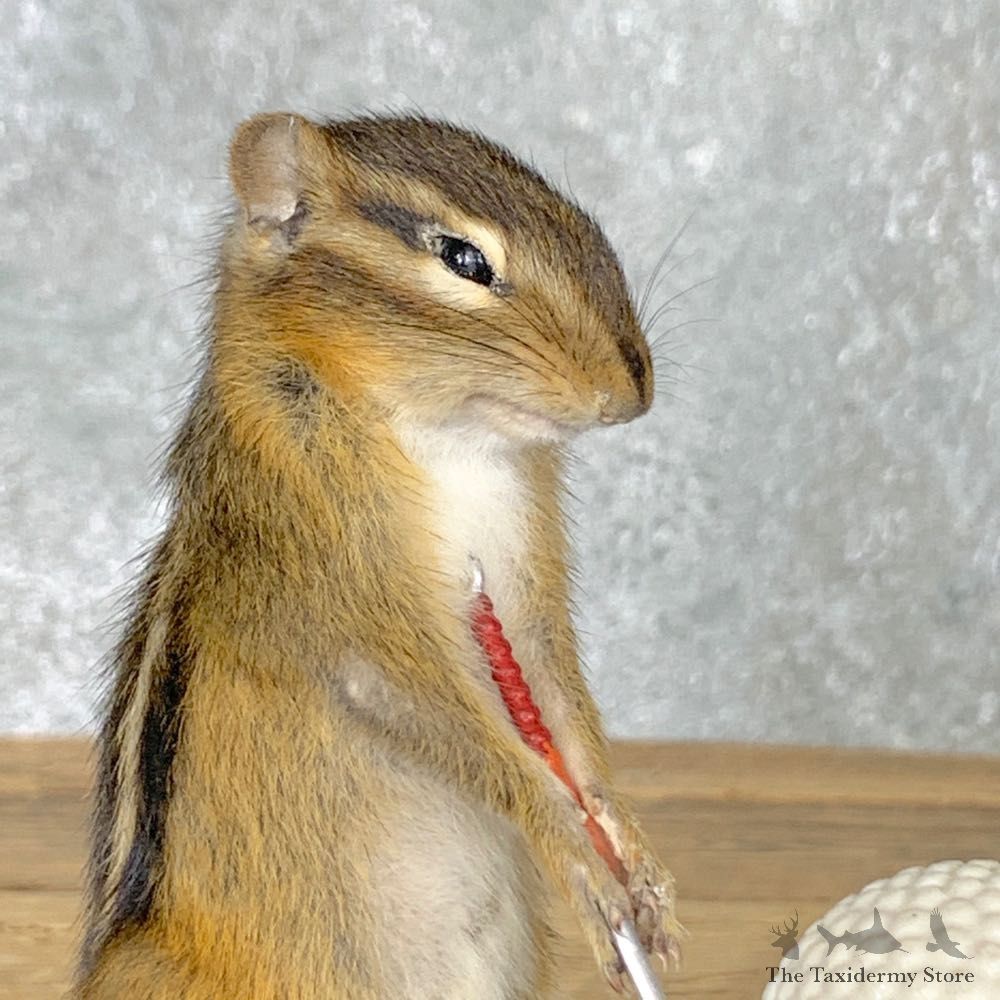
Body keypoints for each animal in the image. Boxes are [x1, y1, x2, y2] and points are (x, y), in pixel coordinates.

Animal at [75, 112, 682, 999]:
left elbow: (561, 703)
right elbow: (431, 711)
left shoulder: (523, 576)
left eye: (587, 224)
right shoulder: (346, 595)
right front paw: (575, 853)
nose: (632, 393)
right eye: (462, 258)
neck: (454, 442)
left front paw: (632, 857)